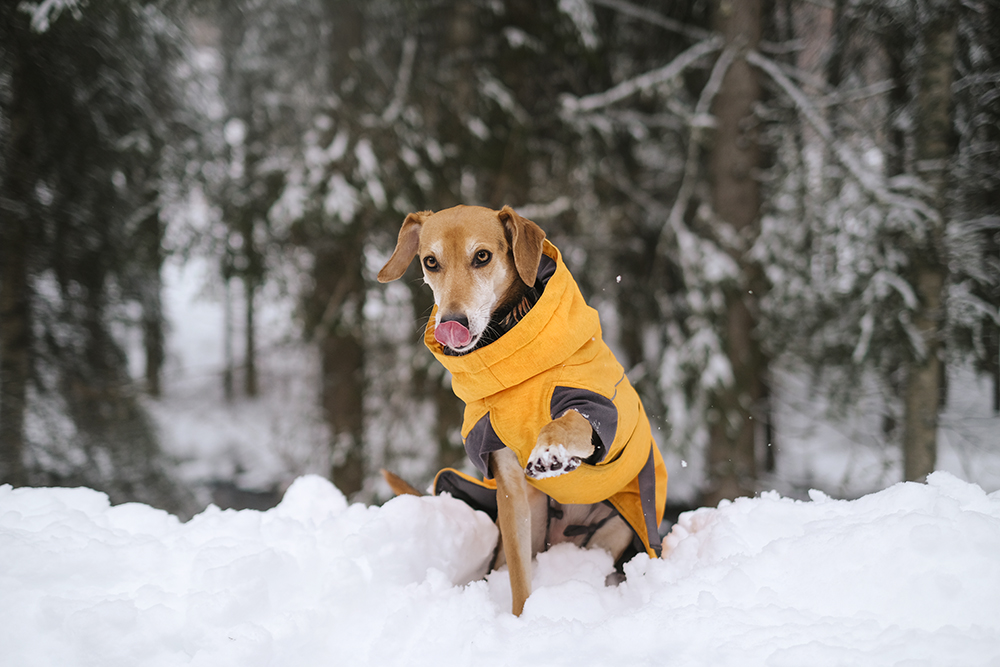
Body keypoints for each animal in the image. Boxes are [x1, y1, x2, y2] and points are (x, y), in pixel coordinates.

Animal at [378, 204, 668, 616]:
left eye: (482, 256)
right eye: (430, 262)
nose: (452, 323)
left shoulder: (592, 406)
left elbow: (569, 423)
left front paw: (550, 452)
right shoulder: (507, 482)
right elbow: (518, 575)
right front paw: (520, 618)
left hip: (619, 526)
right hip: (536, 515)